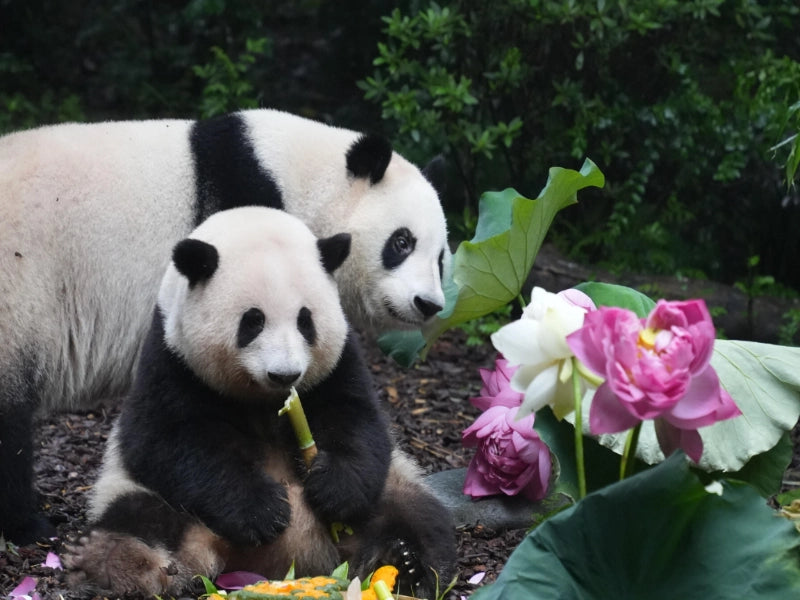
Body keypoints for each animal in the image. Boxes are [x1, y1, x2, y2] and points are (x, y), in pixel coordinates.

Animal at [0, 109, 449, 544]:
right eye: (402, 242)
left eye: (442, 256)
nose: (428, 304)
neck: (297, 177)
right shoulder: (241, 206)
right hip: (19, 296)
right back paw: (29, 527)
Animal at [62, 206, 455, 599]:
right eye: (253, 321)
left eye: (305, 321)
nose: (285, 374)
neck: (263, 399)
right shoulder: (170, 357)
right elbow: (164, 439)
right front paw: (263, 511)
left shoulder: (341, 362)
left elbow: (358, 421)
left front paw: (333, 490)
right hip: (147, 496)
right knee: (141, 515)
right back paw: (111, 559)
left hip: (394, 483)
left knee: (414, 513)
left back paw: (404, 563)